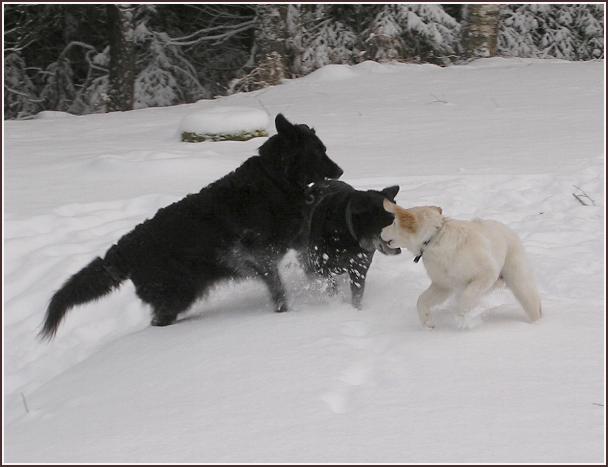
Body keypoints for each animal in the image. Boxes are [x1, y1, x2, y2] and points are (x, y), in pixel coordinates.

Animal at [40, 114, 344, 338]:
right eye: (319, 151)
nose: (340, 171)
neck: (276, 181)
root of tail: (124, 248)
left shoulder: (298, 241)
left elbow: (315, 268)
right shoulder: (260, 255)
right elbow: (279, 289)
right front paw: (286, 313)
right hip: (177, 294)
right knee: (159, 321)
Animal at [380, 202, 540, 330]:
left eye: (393, 223)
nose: (380, 231)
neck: (434, 240)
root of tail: (508, 229)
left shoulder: (487, 273)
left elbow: (467, 296)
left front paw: (462, 317)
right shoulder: (442, 285)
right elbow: (421, 300)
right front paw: (427, 323)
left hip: (519, 282)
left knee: (533, 306)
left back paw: (537, 326)